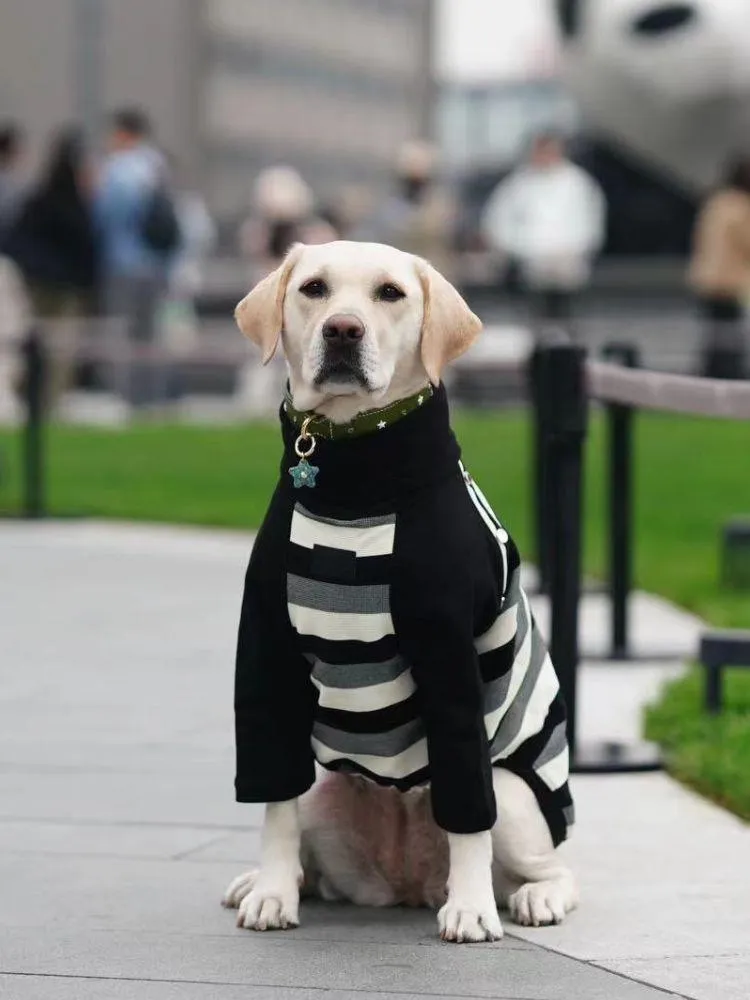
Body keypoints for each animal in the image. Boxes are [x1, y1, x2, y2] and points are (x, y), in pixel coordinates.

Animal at [220, 244, 580, 944]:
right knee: (307, 837)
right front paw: (272, 893)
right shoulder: (268, 652)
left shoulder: (451, 661)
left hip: (515, 797)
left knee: (547, 863)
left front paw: (471, 909)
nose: (342, 330)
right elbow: (273, 802)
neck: (355, 475)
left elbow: (469, 814)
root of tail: (408, 883)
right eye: (313, 289)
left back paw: (528, 897)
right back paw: (268, 880)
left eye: (390, 293)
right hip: (324, 790)